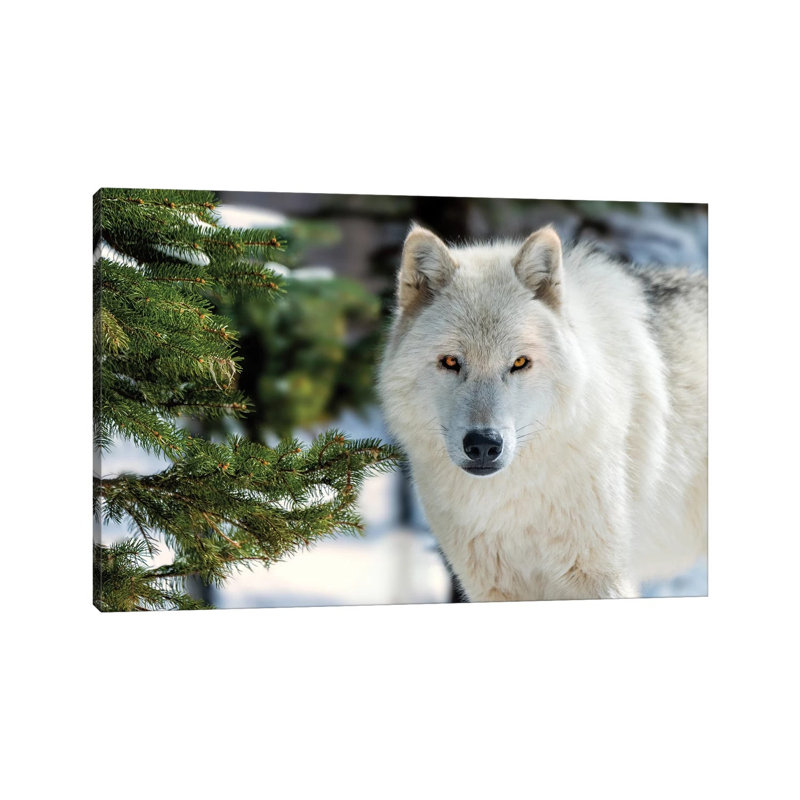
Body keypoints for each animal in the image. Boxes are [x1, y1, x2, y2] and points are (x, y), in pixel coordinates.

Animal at [378, 224, 707, 601]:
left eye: (520, 362)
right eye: (450, 362)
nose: (483, 444)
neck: (511, 501)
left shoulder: (601, 581)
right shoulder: (494, 589)